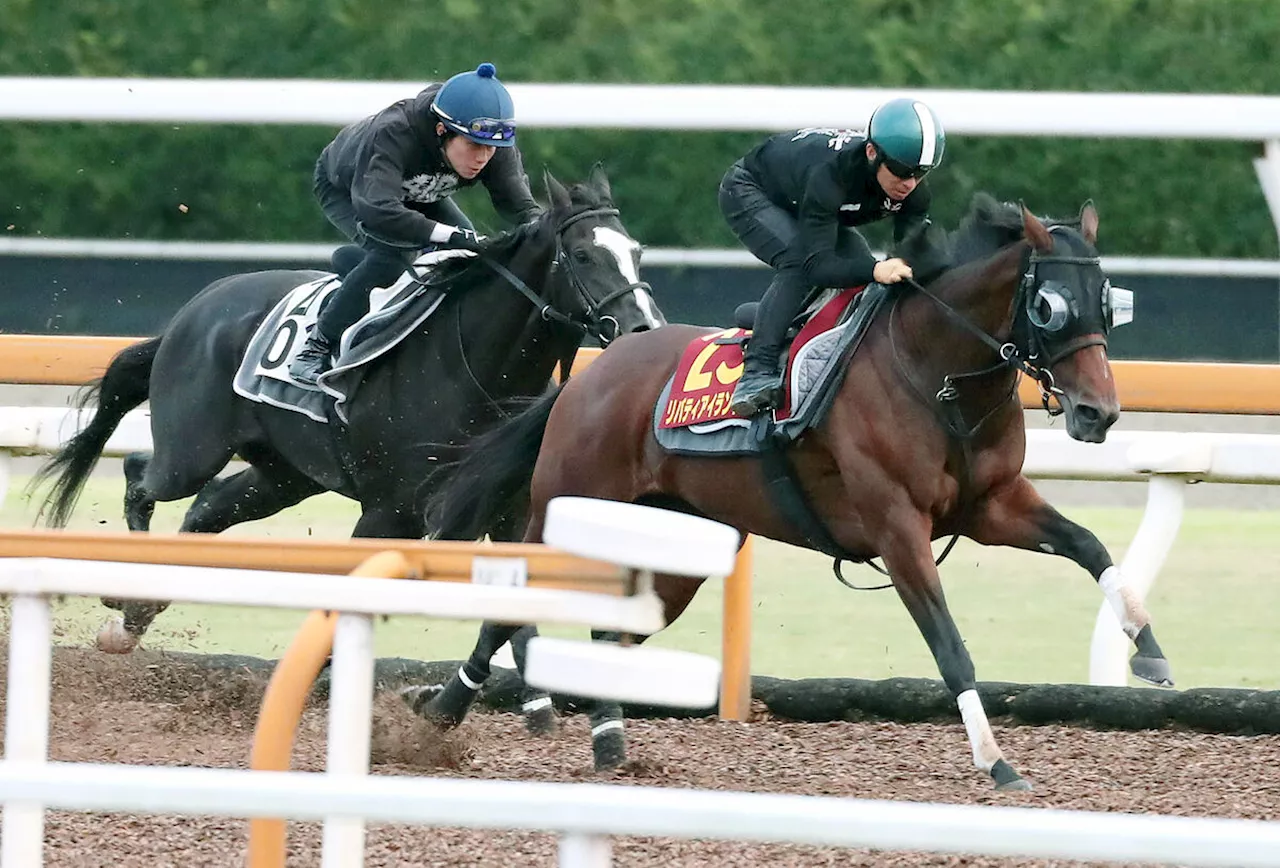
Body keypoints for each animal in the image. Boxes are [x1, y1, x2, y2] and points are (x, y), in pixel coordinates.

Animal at [33, 166, 665, 650]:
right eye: (581, 255)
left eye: (635, 252)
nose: (644, 330)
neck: (473, 366)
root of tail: (193, 312)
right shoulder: (390, 512)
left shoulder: (505, 513)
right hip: (193, 449)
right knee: (142, 475)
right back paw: (126, 594)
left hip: (285, 474)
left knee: (208, 509)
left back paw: (140, 611)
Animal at [417, 193, 1172, 793]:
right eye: (1048, 306)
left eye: (1107, 303)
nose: (1098, 413)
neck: (935, 372)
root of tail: (587, 376)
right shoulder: (897, 528)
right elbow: (949, 645)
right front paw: (996, 760)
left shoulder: (990, 504)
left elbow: (1089, 545)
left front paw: (1150, 650)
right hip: (561, 511)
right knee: (514, 607)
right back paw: (439, 714)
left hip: (676, 549)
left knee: (611, 625)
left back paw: (608, 744)